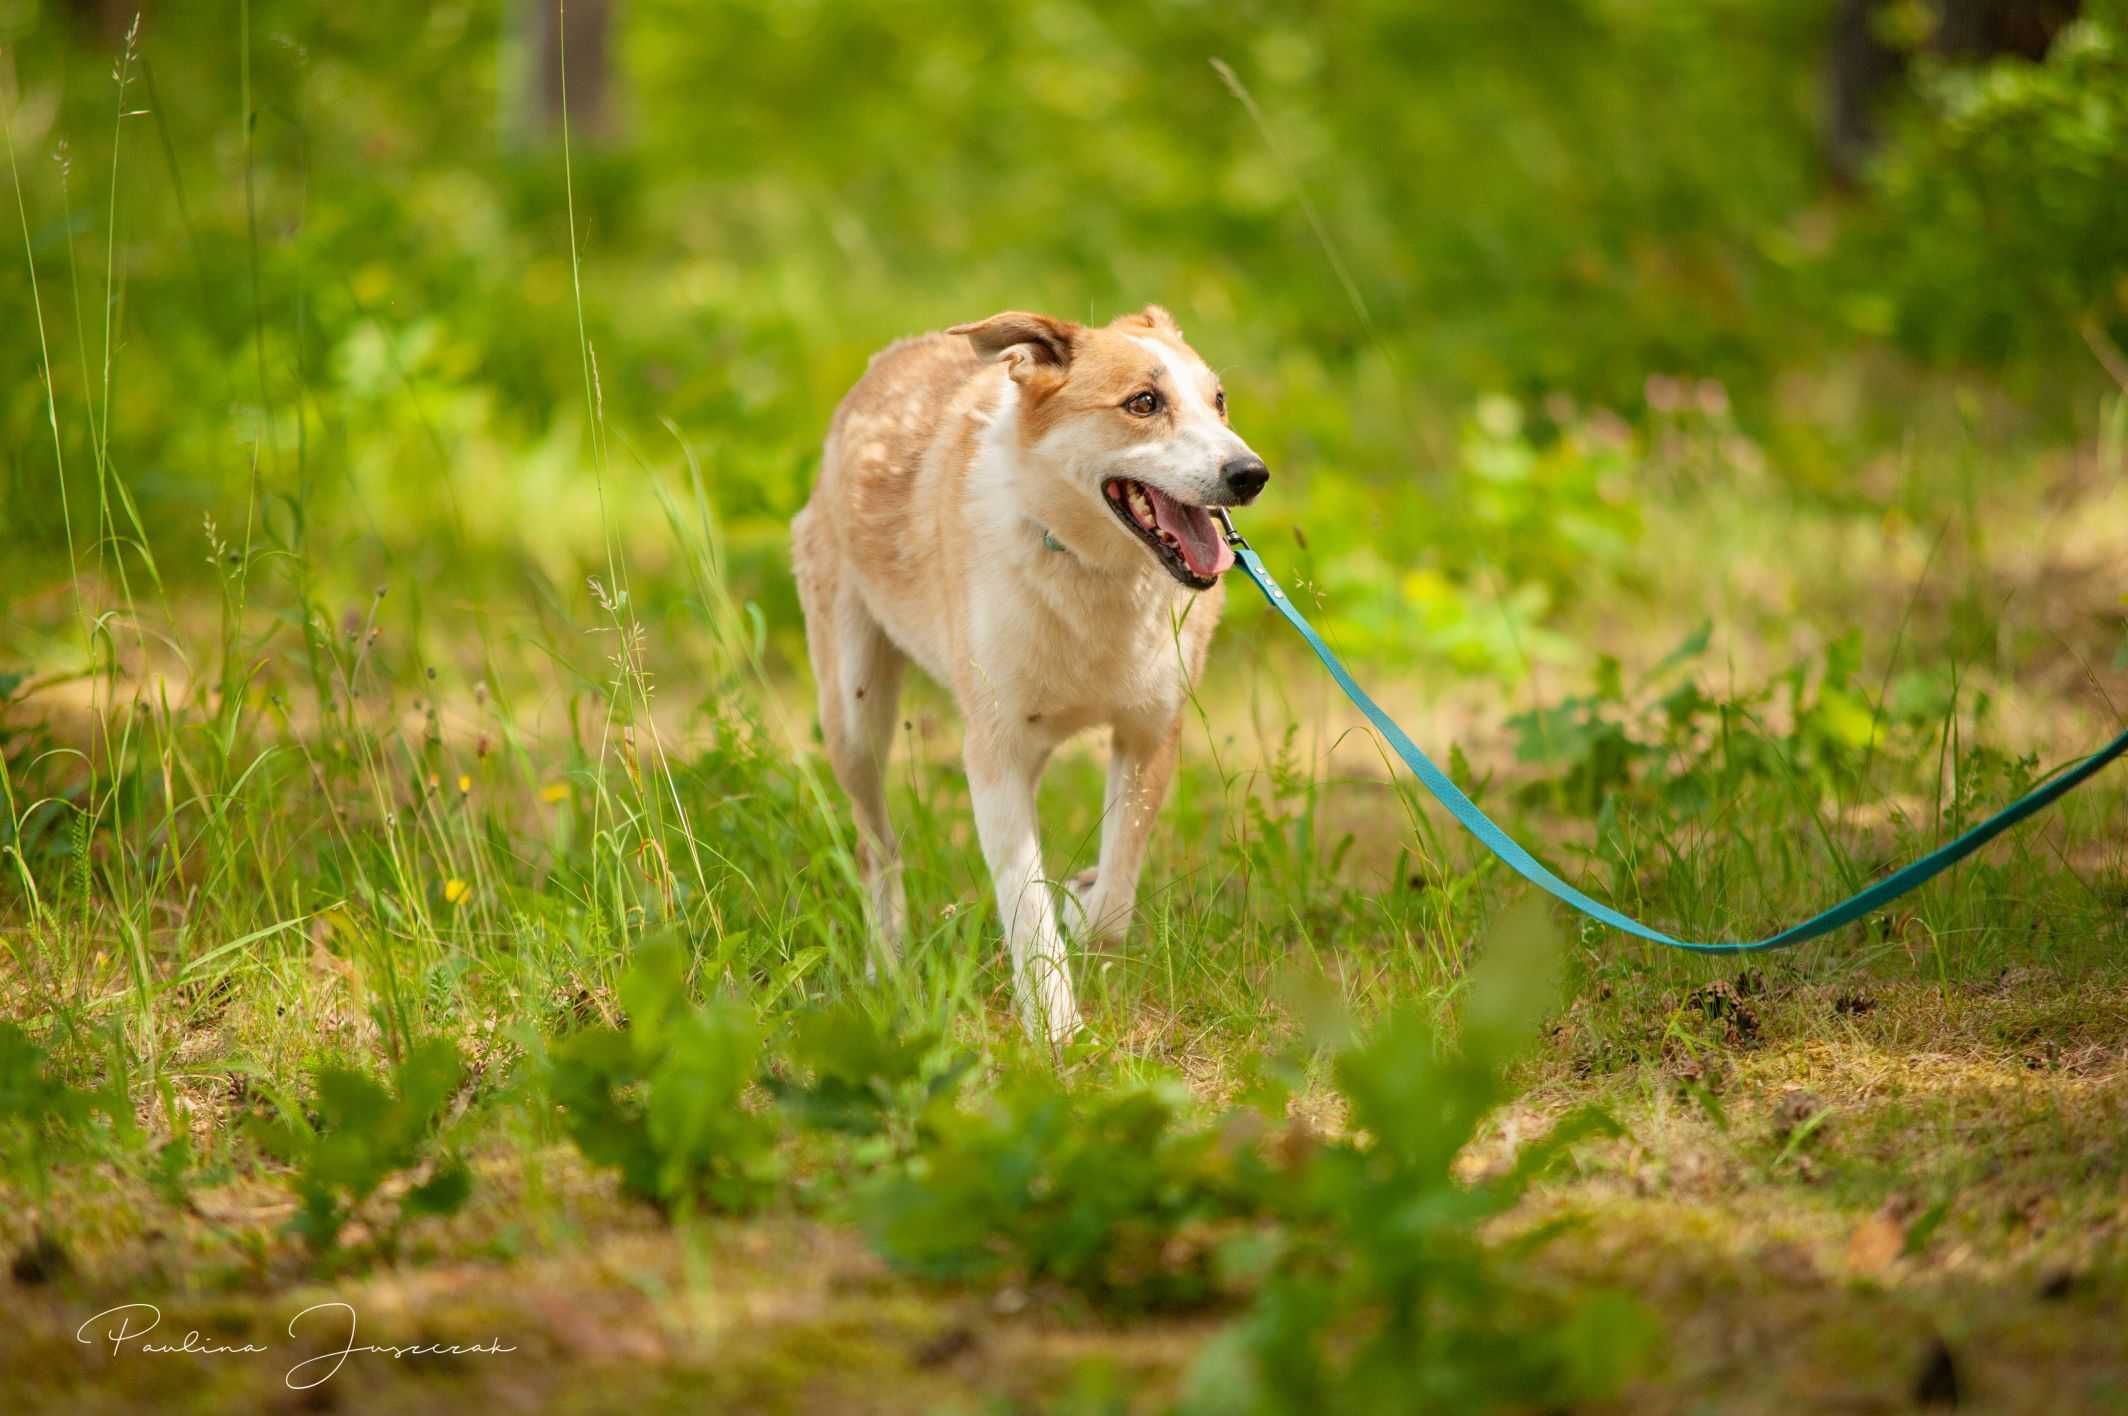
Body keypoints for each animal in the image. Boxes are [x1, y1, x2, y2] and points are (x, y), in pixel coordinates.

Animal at [795, 306, 1259, 1039]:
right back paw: (887, 963)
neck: (1090, 569)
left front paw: (1084, 911)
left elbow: (1112, 898)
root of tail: (887, 360)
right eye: (1144, 403)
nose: (1250, 473)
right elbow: (1026, 903)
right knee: (878, 848)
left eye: (1219, 401)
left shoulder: (1149, 735)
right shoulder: (994, 753)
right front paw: (1057, 1030)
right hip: (853, 715)